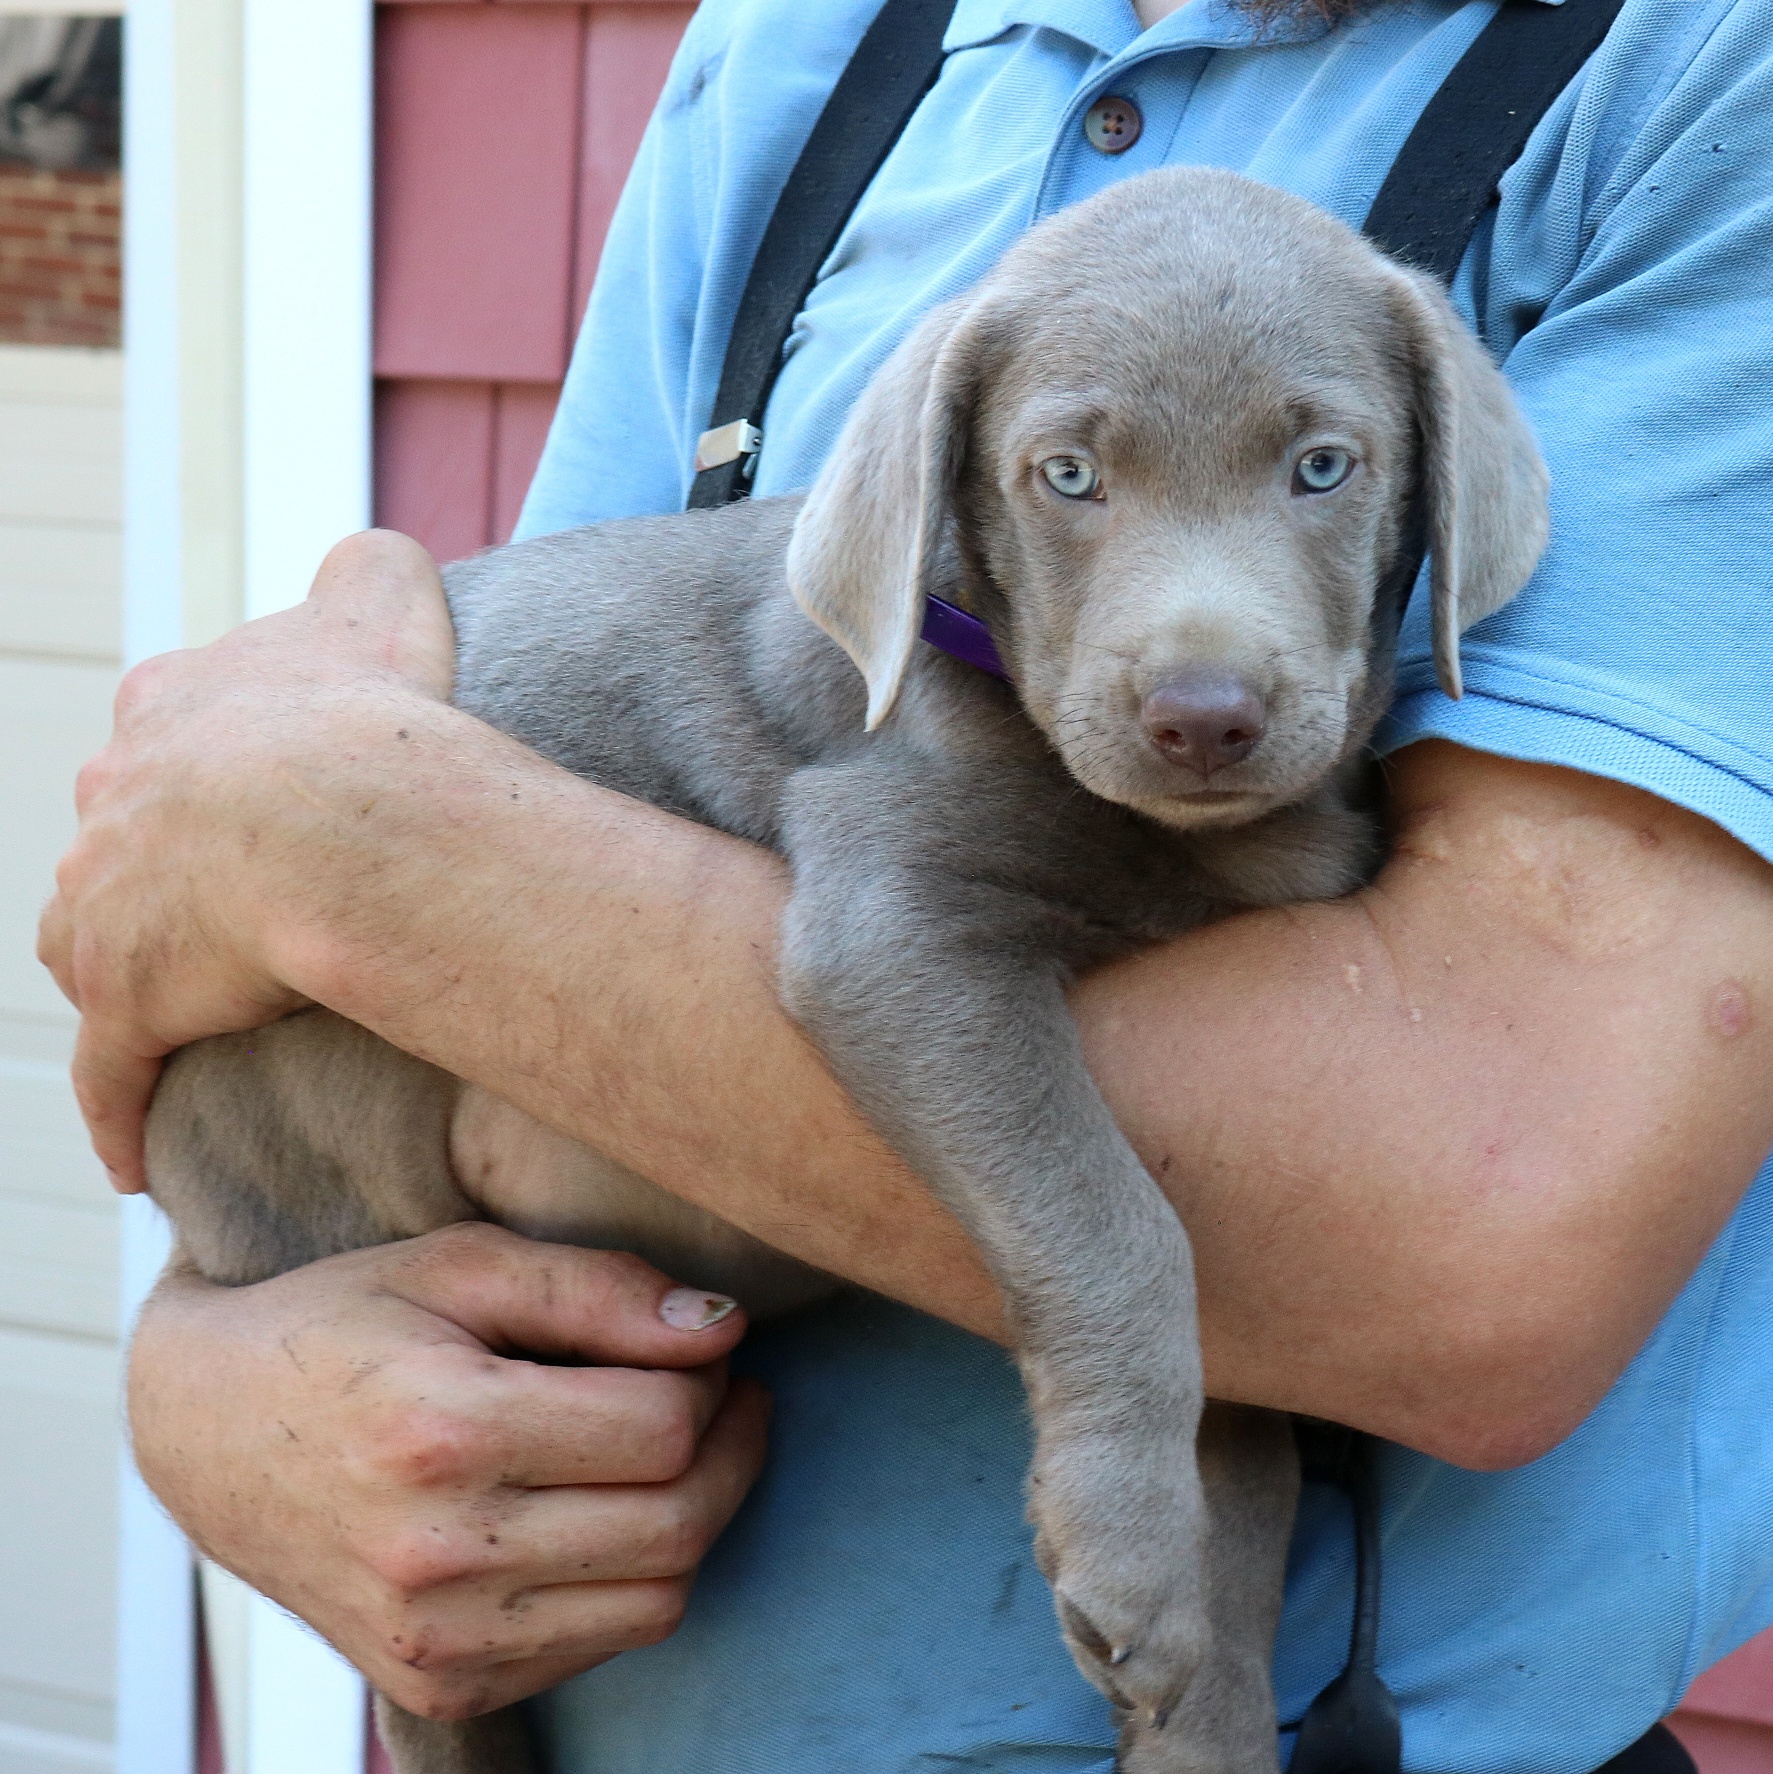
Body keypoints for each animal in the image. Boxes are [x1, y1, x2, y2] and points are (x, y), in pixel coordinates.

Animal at [141, 166, 1554, 1774]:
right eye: (1067, 477)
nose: (1204, 716)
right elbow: (1115, 1220)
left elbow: (1251, 1461)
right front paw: (1132, 1552)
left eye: (1324, 465)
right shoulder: (890, 916)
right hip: (316, 1191)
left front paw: (1202, 1702)